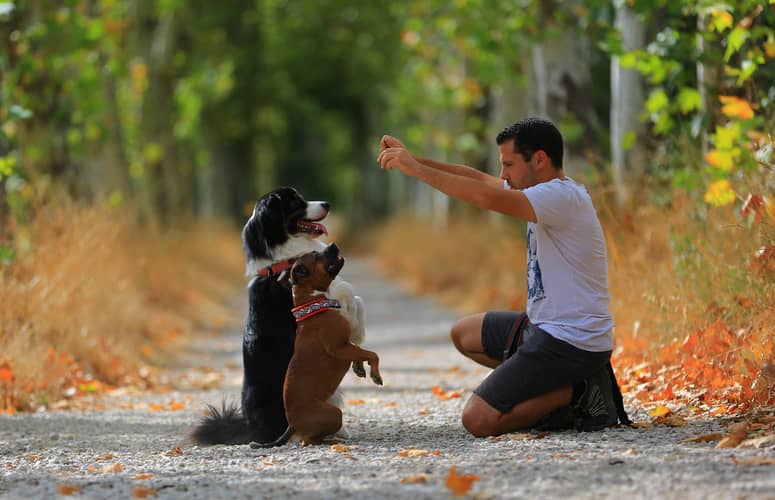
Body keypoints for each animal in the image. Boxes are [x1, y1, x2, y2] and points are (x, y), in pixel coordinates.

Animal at [192, 186, 366, 444]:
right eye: (294, 202)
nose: (327, 203)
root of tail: (250, 429)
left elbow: (356, 299)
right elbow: (351, 302)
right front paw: (360, 334)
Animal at [249, 244, 382, 448]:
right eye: (318, 256)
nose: (333, 245)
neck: (314, 304)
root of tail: (292, 425)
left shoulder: (347, 345)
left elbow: (360, 352)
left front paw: (360, 368)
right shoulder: (339, 348)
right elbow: (372, 354)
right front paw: (376, 374)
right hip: (334, 414)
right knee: (308, 441)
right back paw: (332, 440)